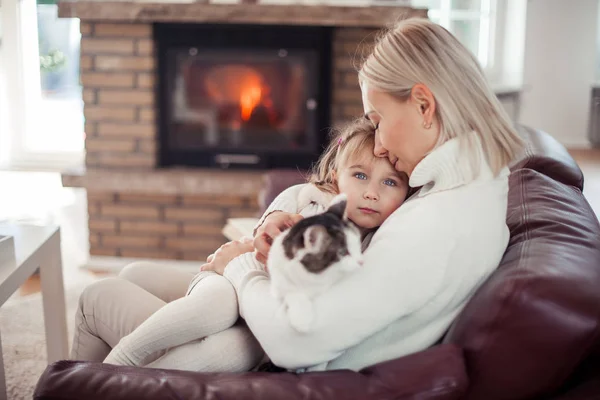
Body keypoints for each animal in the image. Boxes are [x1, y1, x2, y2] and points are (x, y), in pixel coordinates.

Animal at [268, 195, 364, 332]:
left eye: (358, 244)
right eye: (343, 252)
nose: (362, 261)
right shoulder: (278, 284)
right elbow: (291, 292)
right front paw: (302, 317)